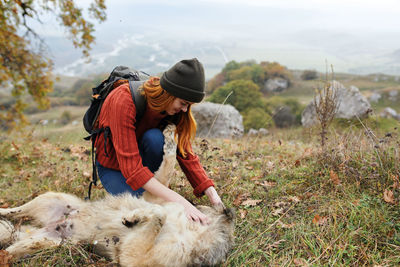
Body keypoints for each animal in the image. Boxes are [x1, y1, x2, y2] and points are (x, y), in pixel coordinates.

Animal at [0, 125, 234, 267]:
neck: (198, 228)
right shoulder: (155, 196)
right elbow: (166, 170)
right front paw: (170, 137)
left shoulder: (135, 257)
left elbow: (159, 214)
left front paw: (133, 219)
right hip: (51, 198)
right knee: (12, 212)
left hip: (41, 243)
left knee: (9, 247)